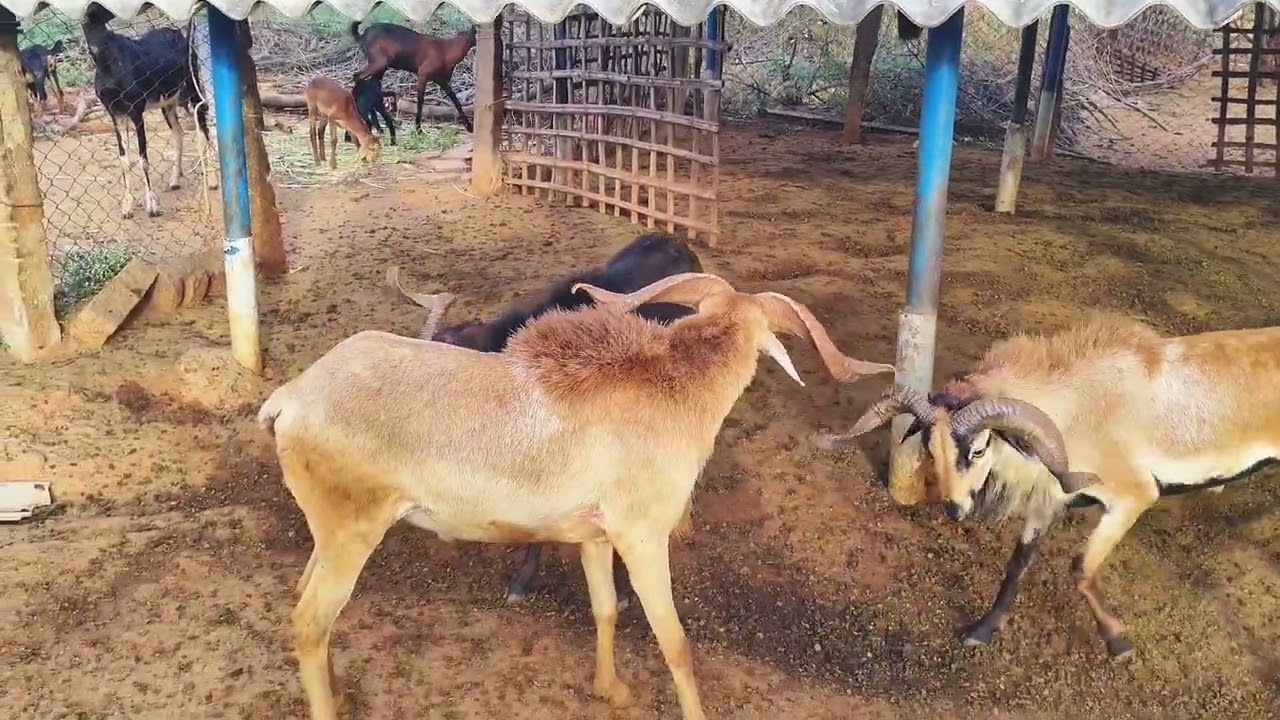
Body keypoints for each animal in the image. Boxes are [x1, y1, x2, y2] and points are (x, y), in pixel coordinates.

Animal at [82, 3, 217, 219]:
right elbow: (124, 160)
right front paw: (126, 208)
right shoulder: (115, 113)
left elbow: (142, 159)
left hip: (192, 87)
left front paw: (152, 206)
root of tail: (180, 35)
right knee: (179, 132)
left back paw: (212, 181)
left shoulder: (136, 110)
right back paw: (174, 180)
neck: (107, 64)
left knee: (204, 128)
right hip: (169, 103)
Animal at [259, 272, 895, 720]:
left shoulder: (594, 535)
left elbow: (605, 608)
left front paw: (609, 689)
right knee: (309, 622)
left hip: (330, 532)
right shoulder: (643, 538)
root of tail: (291, 398)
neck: (675, 393)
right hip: (352, 533)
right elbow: (676, 643)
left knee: (302, 601)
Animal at [815, 314, 1280, 658]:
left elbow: (1080, 569)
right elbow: (1018, 563)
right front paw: (982, 630)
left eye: (979, 449)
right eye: (930, 447)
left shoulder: (1133, 496)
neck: (1080, 409)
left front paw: (1118, 642)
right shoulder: (1049, 498)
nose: (954, 509)